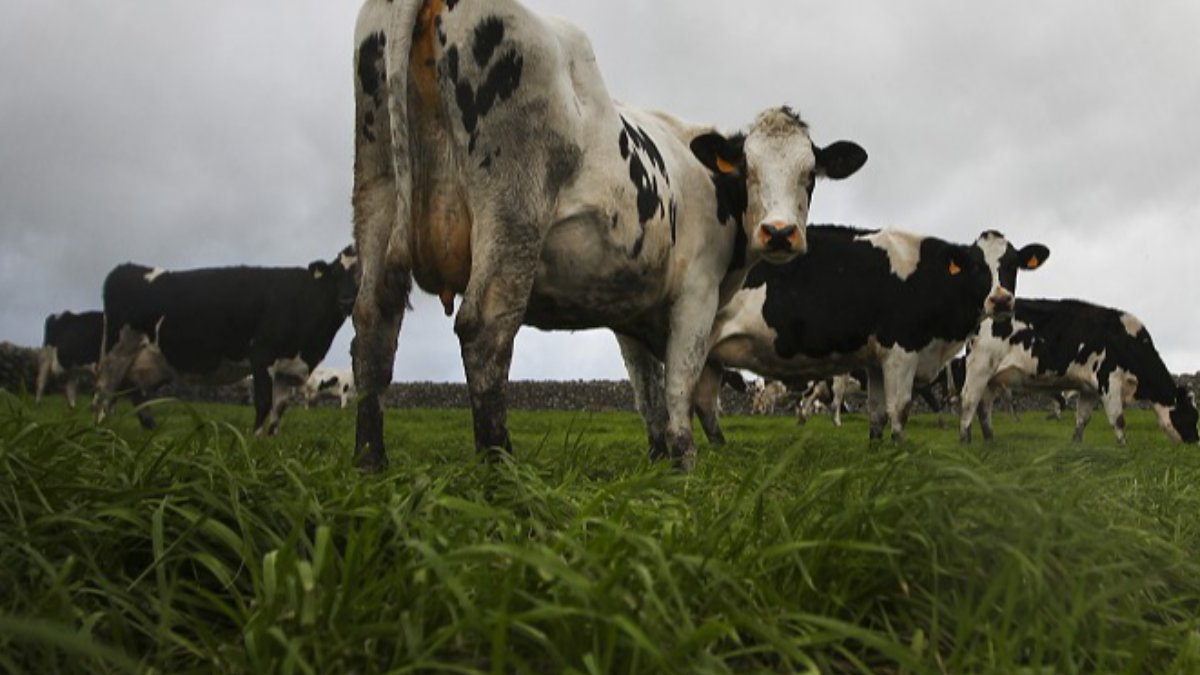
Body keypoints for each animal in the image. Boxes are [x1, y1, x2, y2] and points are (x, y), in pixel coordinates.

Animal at [92, 246, 358, 434]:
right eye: (335, 274)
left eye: (361, 275)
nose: (346, 300)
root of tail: (125, 269)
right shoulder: (261, 354)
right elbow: (263, 402)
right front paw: (254, 443)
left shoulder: (287, 369)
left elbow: (279, 409)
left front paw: (270, 442)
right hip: (117, 349)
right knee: (105, 388)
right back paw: (101, 429)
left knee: (133, 391)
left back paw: (146, 427)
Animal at [349, 0, 868, 472]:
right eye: (748, 170)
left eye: (810, 175)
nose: (779, 233)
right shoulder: (696, 293)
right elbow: (680, 383)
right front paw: (684, 461)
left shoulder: (630, 312)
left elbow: (647, 390)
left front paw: (658, 457)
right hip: (512, 213)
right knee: (485, 328)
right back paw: (502, 473)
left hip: (377, 192)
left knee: (374, 321)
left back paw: (371, 463)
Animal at [692, 225, 1049, 444]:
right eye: (976, 266)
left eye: (1013, 265)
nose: (1001, 300)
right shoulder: (902, 350)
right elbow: (900, 409)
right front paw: (899, 455)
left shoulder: (878, 360)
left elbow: (877, 413)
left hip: (711, 356)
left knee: (705, 405)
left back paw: (720, 447)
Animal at [958, 298, 1199, 445]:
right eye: (1192, 415)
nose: (1194, 441)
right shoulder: (1108, 380)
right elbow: (1118, 419)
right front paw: (1125, 449)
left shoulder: (1089, 388)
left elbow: (1083, 419)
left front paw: (1076, 444)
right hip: (979, 369)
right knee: (969, 402)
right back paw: (965, 441)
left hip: (992, 379)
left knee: (984, 408)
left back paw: (990, 440)